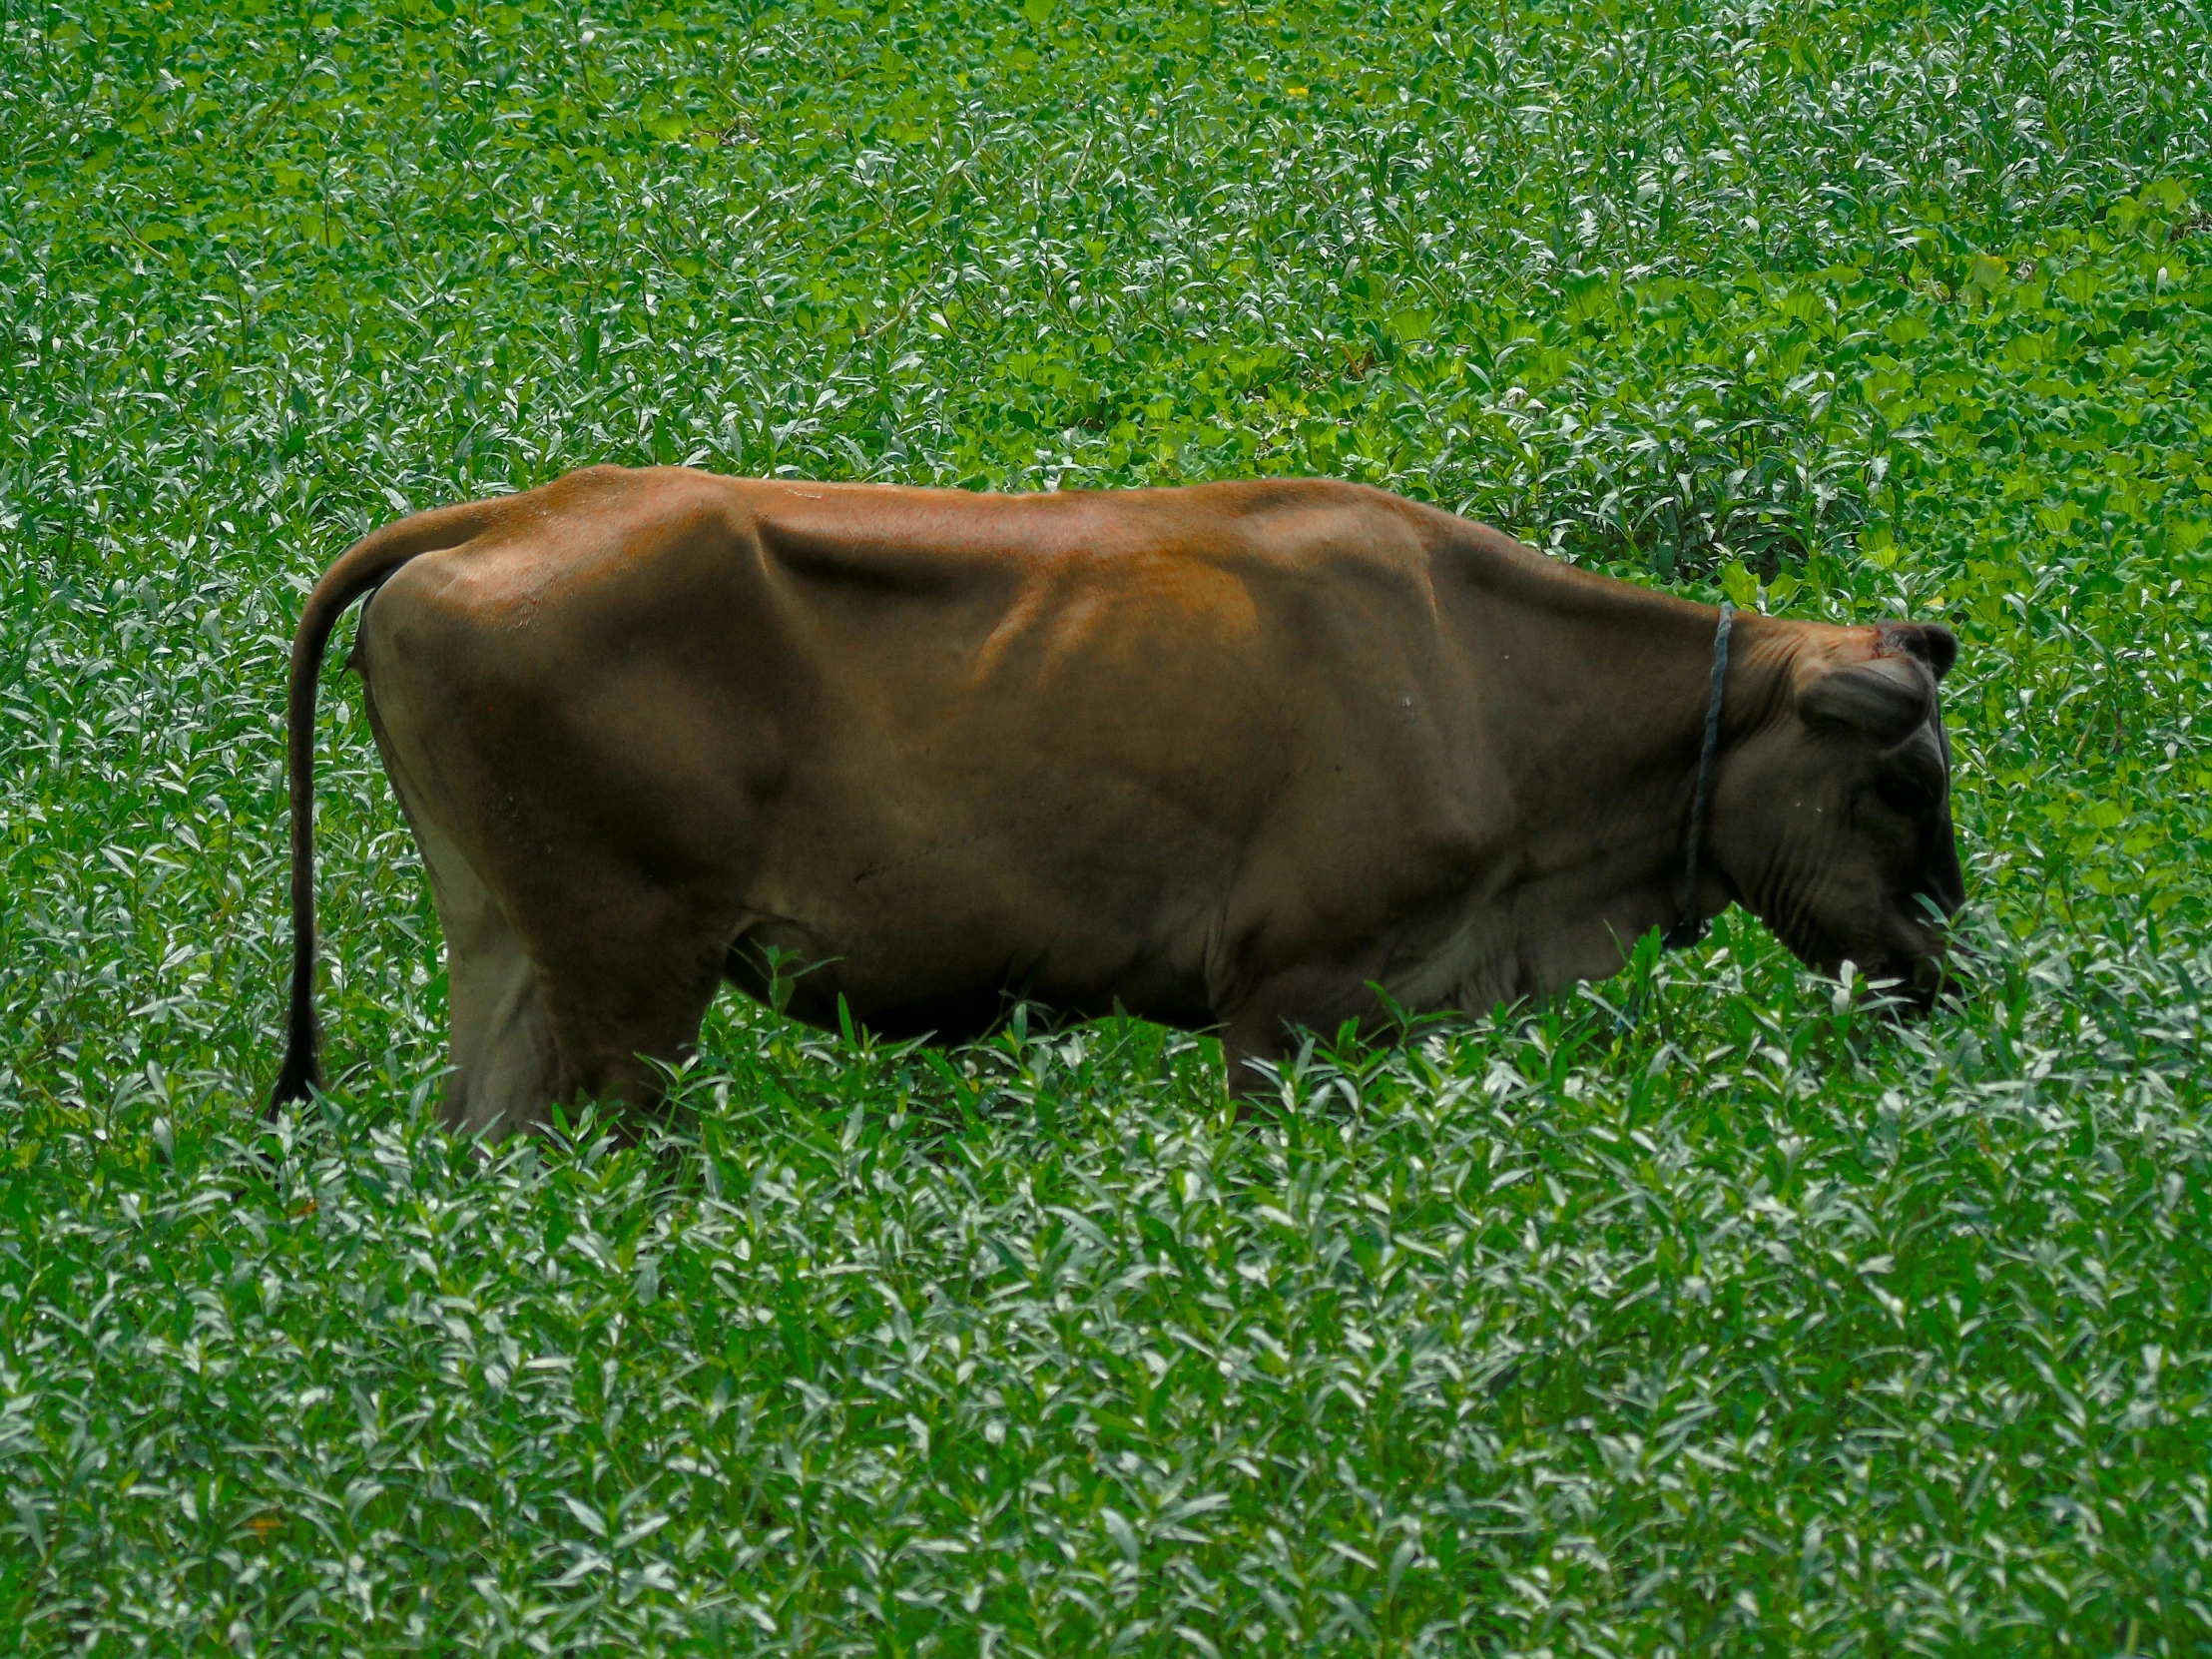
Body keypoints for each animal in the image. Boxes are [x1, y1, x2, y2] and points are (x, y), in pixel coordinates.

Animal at [268, 473, 1963, 1141]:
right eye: (1899, 780)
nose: (1947, 968)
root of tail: (521, 508)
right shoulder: (1289, 994)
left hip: (503, 949)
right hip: (629, 969)